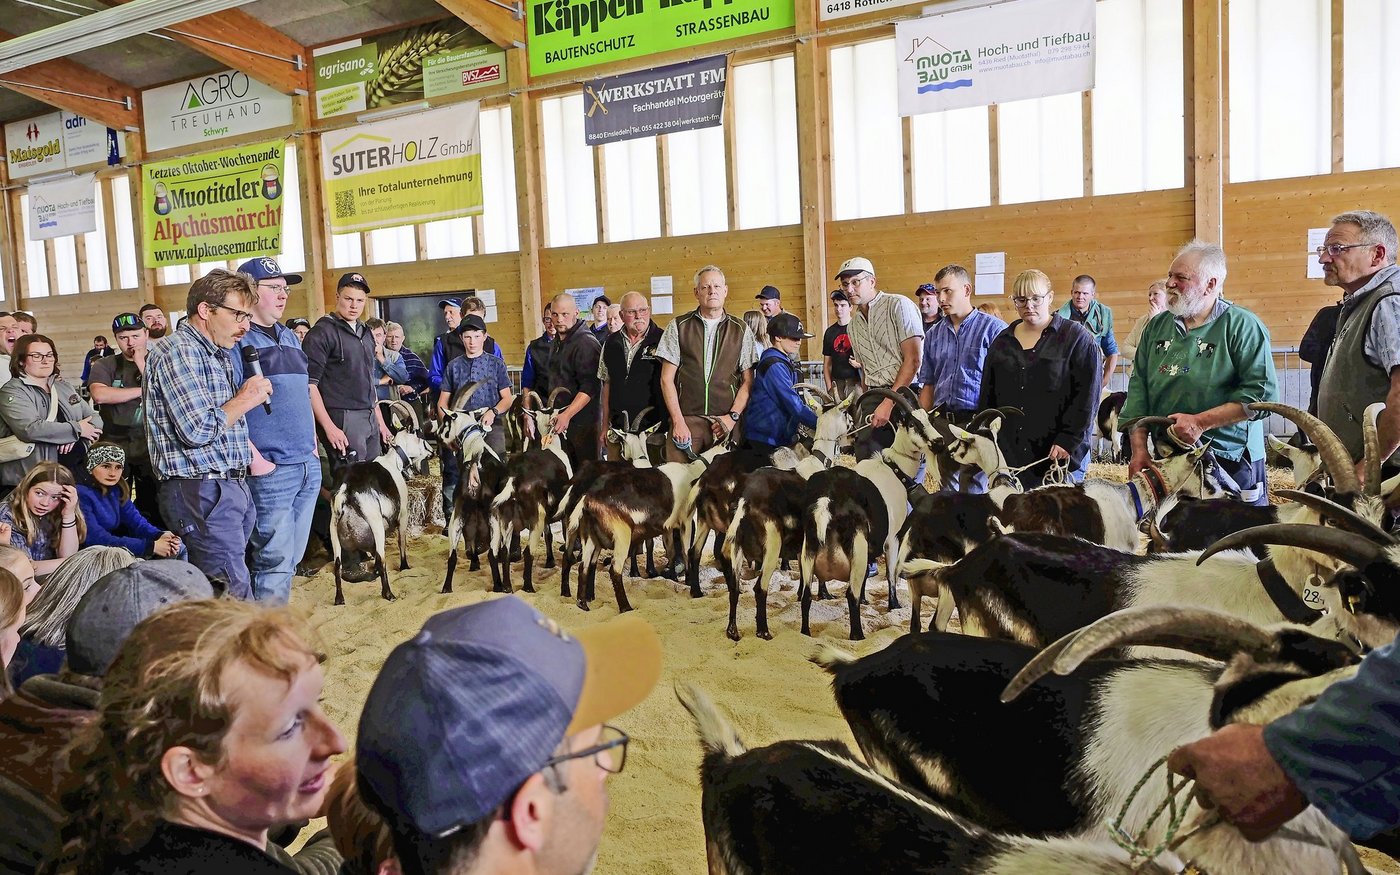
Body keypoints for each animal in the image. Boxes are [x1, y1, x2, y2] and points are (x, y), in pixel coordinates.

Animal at [330, 401, 435, 605]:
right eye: (419, 434)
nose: (432, 452)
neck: (393, 461)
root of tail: (346, 489)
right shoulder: (403, 513)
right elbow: (402, 541)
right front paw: (404, 566)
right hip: (375, 522)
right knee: (382, 556)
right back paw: (389, 594)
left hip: (334, 527)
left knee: (337, 564)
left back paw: (339, 599)